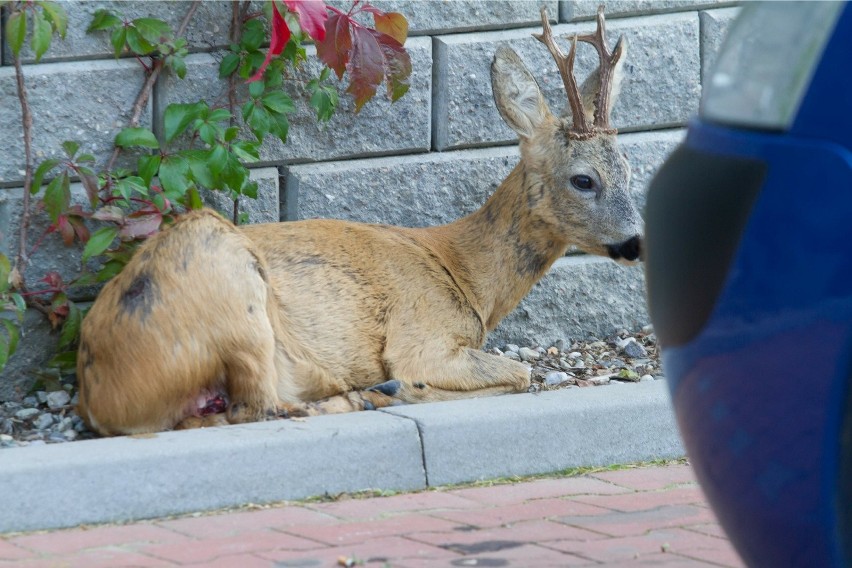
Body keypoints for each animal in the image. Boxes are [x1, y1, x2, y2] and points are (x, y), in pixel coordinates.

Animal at [78, 6, 640, 434]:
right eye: (584, 179)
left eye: (630, 169)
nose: (637, 241)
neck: (468, 278)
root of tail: (101, 396)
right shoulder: (423, 339)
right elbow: (521, 373)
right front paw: (397, 388)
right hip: (229, 283)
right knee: (258, 407)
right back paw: (369, 393)